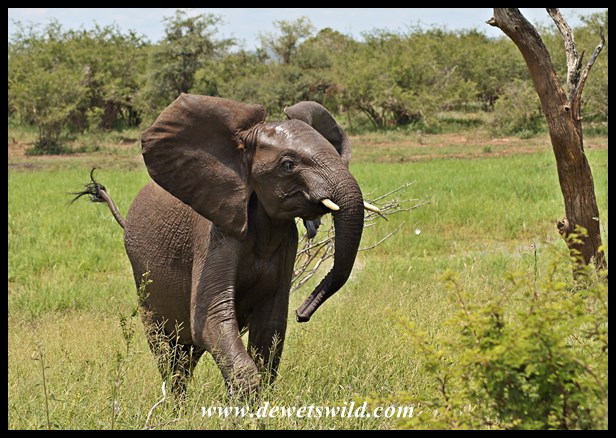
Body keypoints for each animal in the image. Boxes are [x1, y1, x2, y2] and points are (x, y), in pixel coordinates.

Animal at [76, 94, 379, 400]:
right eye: (288, 165)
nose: (302, 314)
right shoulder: (214, 236)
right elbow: (211, 318)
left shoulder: (286, 242)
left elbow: (270, 327)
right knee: (168, 353)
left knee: (187, 355)